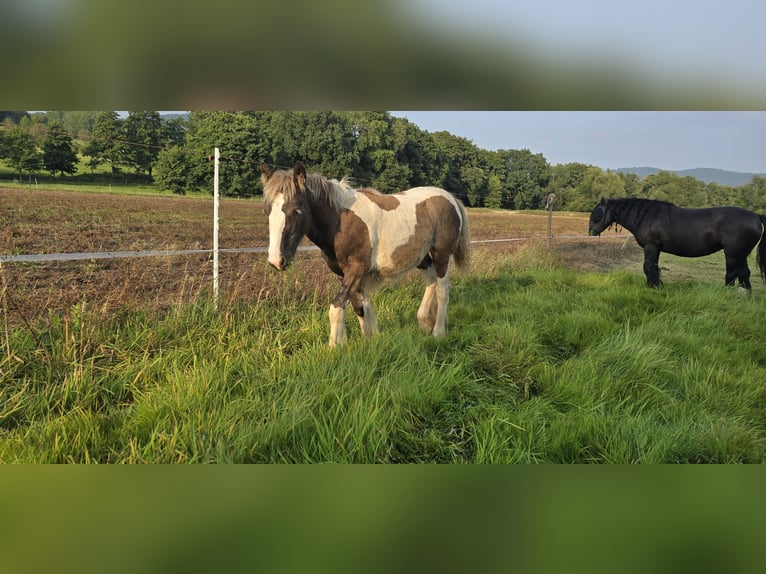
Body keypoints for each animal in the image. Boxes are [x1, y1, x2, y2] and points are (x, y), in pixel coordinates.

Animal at [260, 161, 472, 346]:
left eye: (296, 210)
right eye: (267, 210)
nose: (276, 261)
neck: (339, 221)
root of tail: (451, 198)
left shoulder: (356, 270)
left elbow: (337, 307)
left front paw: (334, 347)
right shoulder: (345, 274)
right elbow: (359, 306)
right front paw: (369, 339)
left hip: (442, 256)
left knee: (443, 291)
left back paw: (438, 333)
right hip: (422, 257)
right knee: (431, 281)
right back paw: (423, 323)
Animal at [588, 198, 766, 290]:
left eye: (597, 213)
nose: (590, 231)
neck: (647, 216)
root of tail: (756, 216)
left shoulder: (651, 246)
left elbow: (647, 266)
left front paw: (653, 286)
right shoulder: (656, 248)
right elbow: (654, 266)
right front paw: (656, 285)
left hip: (733, 253)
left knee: (734, 274)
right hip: (740, 254)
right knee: (743, 274)